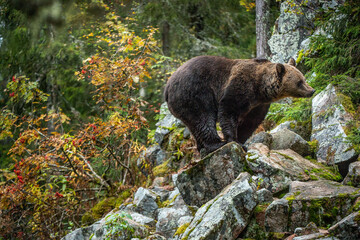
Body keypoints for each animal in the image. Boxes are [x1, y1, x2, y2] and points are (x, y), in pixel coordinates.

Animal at [165, 55, 314, 155]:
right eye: (299, 82)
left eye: (303, 78)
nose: (312, 90)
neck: (260, 88)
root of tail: (167, 87)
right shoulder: (239, 87)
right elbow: (228, 111)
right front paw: (234, 141)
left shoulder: (258, 105)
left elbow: (250, 122)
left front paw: (241, 140)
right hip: (194, 94)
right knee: (204, 118)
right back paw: (216, 144)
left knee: (193, 125)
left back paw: (201, 146)